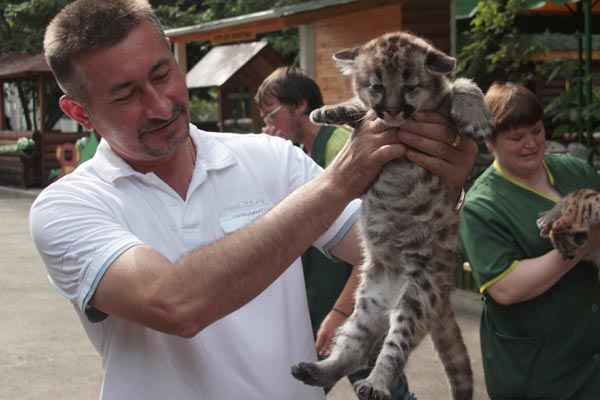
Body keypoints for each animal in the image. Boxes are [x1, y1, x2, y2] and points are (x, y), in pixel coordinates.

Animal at [290, 30, 492, 400]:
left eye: (410, 86)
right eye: (377, 86)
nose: (395, 110)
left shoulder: (440, 108)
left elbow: (463, 83)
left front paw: (477, 120)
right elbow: (361, 110)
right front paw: (328, 110)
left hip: (417, 296)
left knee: (393, 349)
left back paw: (376, 383)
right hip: (368, 305)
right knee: (354, 350)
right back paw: (316, 370)